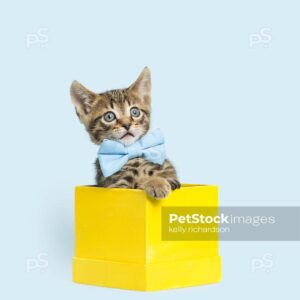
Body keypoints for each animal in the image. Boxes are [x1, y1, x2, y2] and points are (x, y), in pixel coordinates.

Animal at [69, 68, 180, 199]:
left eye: (135, 112)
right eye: (109, 116)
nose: (127, 124)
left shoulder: (168, 171)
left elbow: (166, 176)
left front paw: (157, 181)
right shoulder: (117, 184)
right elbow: (137, 183)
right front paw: (155, 183)